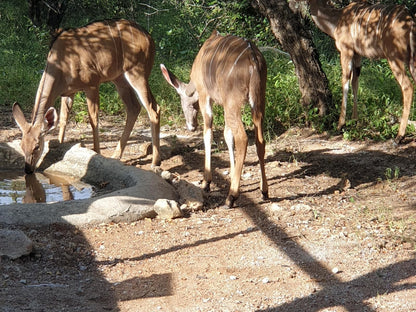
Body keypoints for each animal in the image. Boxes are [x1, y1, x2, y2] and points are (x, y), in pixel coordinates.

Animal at [11, 18, 161, 176]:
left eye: (37, 146)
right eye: (21, 145)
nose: (28, 169)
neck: (61, 63)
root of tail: (149, 38)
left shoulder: (92, 85)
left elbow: (93, 119)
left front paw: (96, 153)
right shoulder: (68, 92)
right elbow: (63, 119)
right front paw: (60, 144)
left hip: (137, 73)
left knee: (153, 108)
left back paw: (155, 162)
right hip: (119, 79)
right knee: (134, 107)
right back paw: (116, 155)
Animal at [159, 30, 270, 208]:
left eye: (182, 101)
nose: (191, 126)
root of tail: (253, 60)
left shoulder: (205, 96)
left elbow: (208, 134)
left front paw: (206, 182)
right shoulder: (224, 103)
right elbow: (227, 136)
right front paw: (232, 174)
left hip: (234, 103)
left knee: (243, 138)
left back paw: (231, 197)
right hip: (258, 101)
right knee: (260, 140)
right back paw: (264, 191)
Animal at [302, 0, 416, 144]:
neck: (336, 19)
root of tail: (410, 19)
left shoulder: (346, 50)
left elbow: (345, 82)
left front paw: (340, 125)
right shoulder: (358, 55)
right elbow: (355, 82)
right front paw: (354, 120)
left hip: (394, 57)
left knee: (407, 86)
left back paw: (399, 136)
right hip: (411, 60)